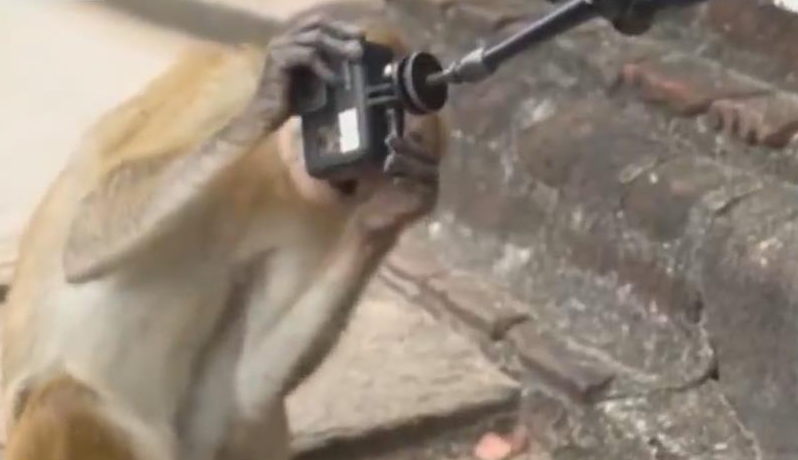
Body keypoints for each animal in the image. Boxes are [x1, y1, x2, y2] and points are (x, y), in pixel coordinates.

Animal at [0, 7, 447, 460]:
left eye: (394, 148)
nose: (350, 178)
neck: (272, 170)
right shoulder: (223, 87)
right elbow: (85, 234)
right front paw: (269, 98)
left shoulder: (316, 219)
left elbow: (247, 390)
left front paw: (393, 209)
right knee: (59, 398)